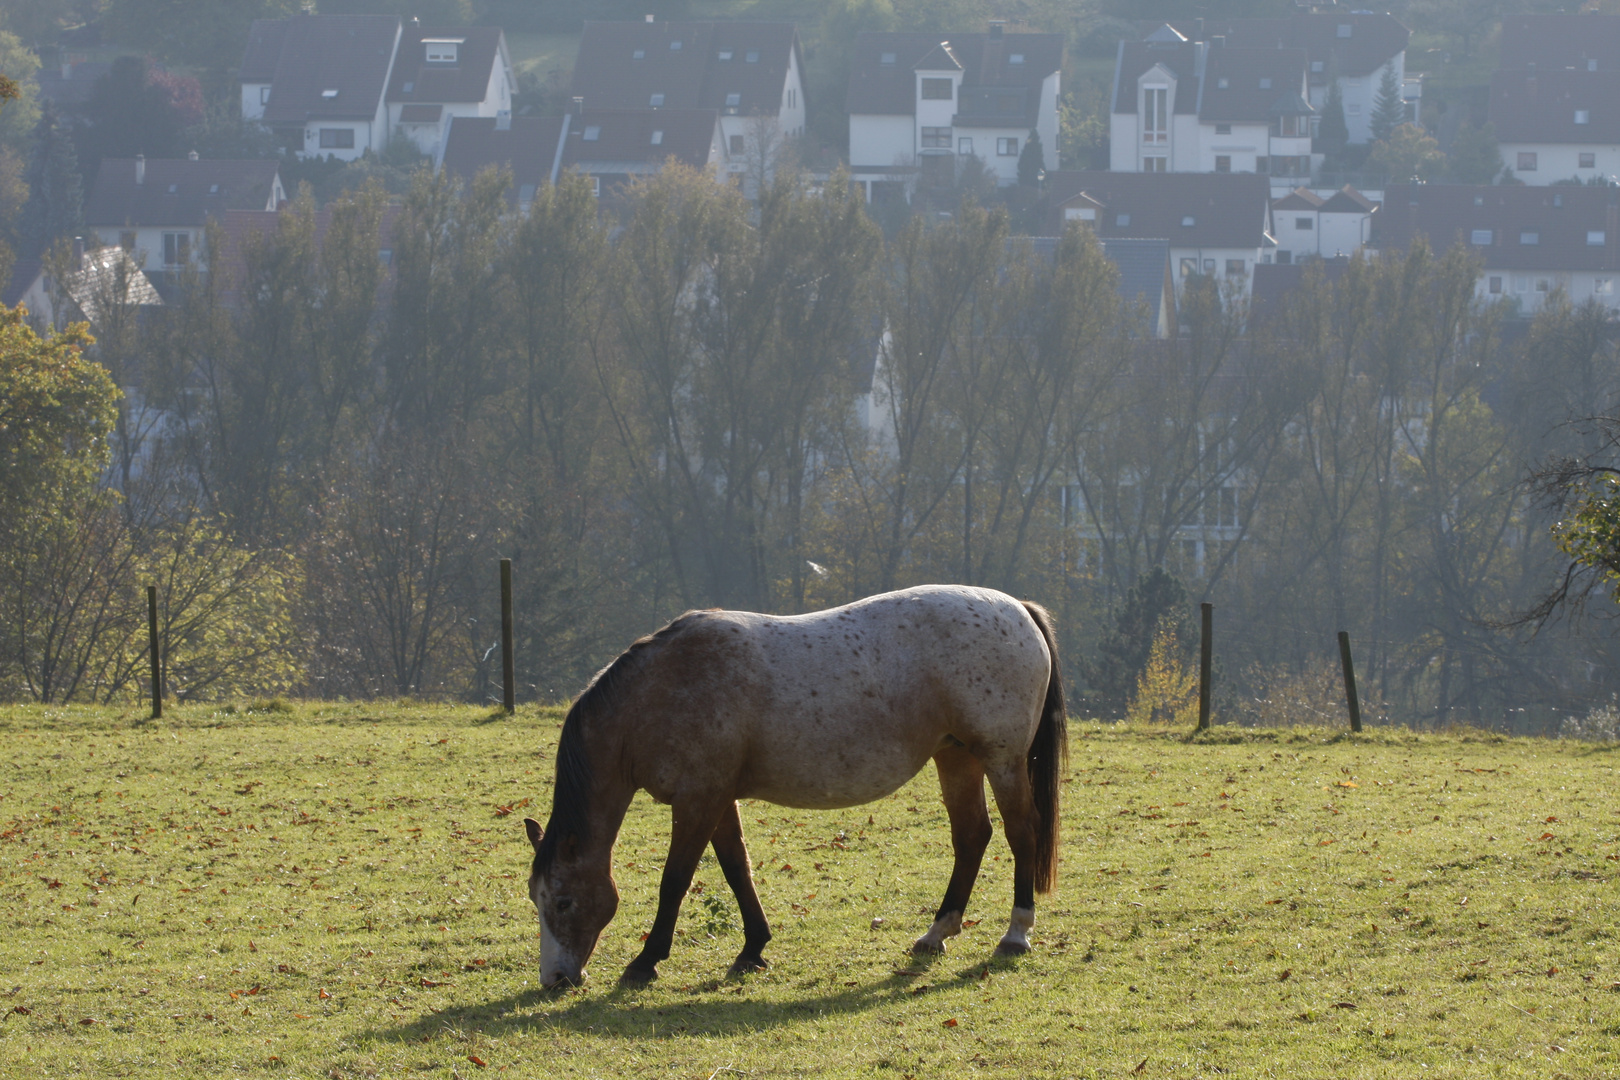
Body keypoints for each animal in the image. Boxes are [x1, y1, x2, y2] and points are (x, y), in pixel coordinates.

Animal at [524, 582, 1069, 990]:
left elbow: (675, 880)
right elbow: (736, 869)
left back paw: (1016, 933)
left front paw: (646, 961)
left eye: (563, 902)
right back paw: (937, 932)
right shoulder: (718, 799)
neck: (661, 691)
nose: (556, 978)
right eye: (537, 898)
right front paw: (752, 948)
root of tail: (1018, 608)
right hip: (956, 757)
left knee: (1021, 832)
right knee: (972, 836)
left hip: (1001, 760)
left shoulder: (698, 801)